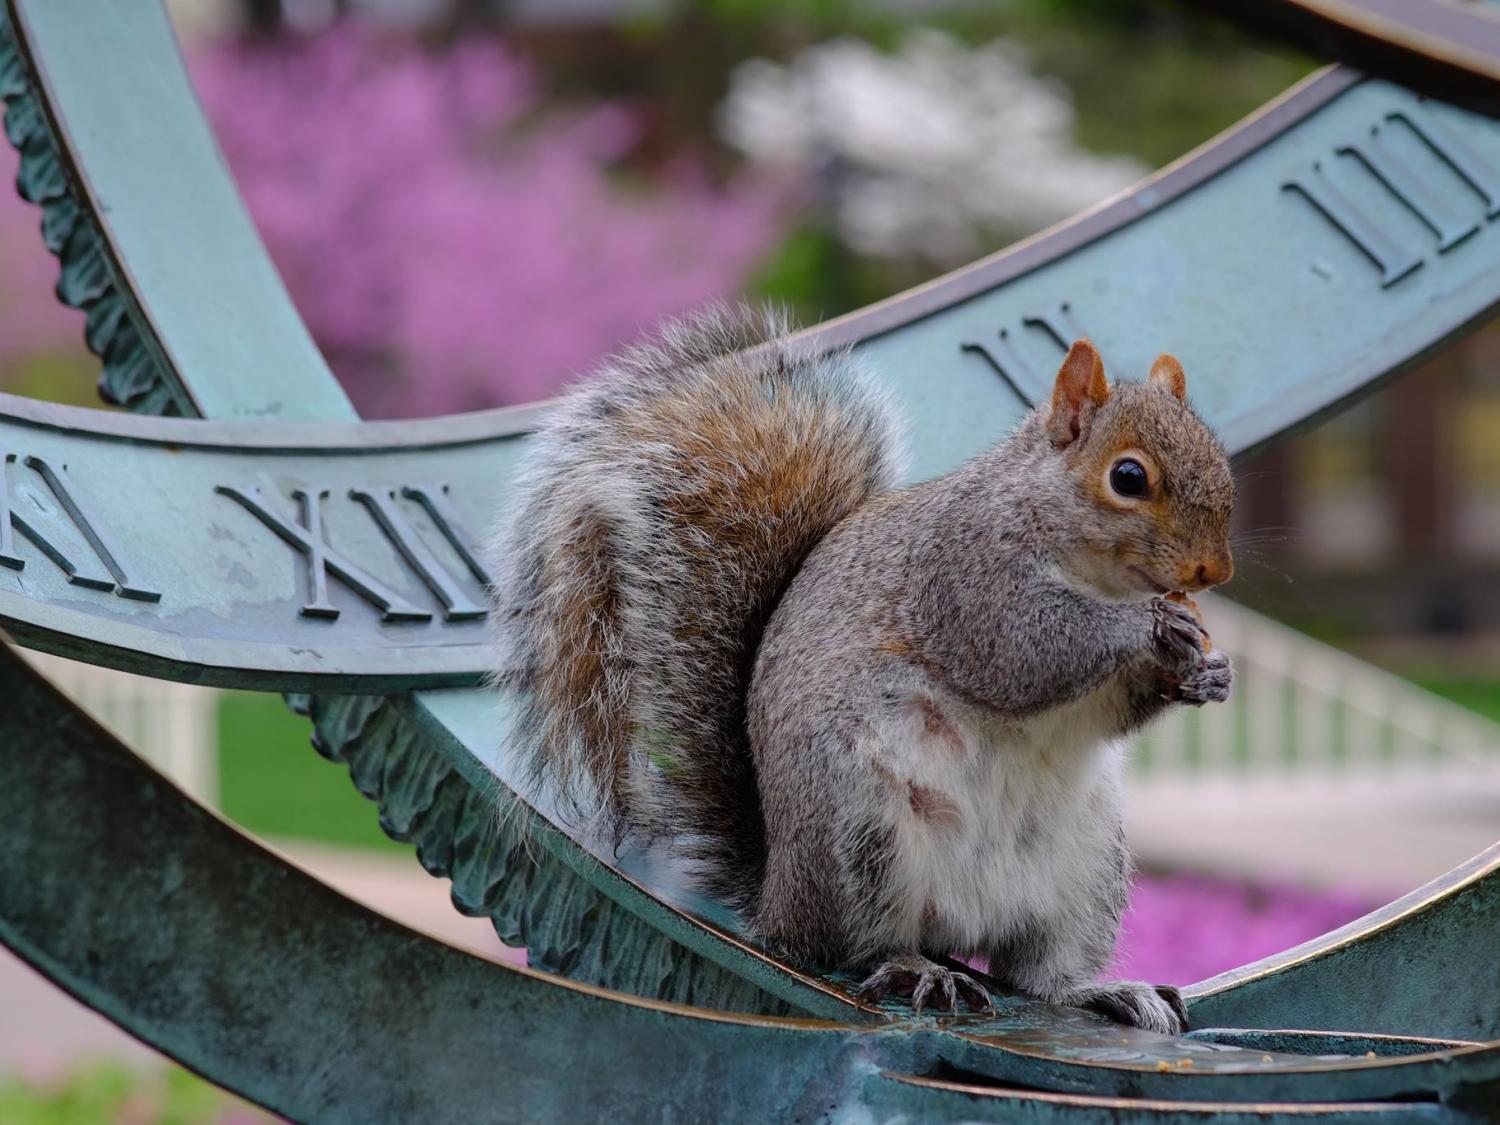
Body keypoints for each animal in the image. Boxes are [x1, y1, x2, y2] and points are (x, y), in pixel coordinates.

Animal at [488, 304, 1235, 1033]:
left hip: (1084, 870)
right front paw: (1147, 626)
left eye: (1221, 463)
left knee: (1037, 975)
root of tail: (778, 900)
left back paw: (1101, 991)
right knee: (855, 947)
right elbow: (1026, 651)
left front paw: (1209, 672)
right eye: (1128, 477)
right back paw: (917, 969)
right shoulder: (965, 577)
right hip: (861, 833)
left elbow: (1112, 704)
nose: (1214, 571)